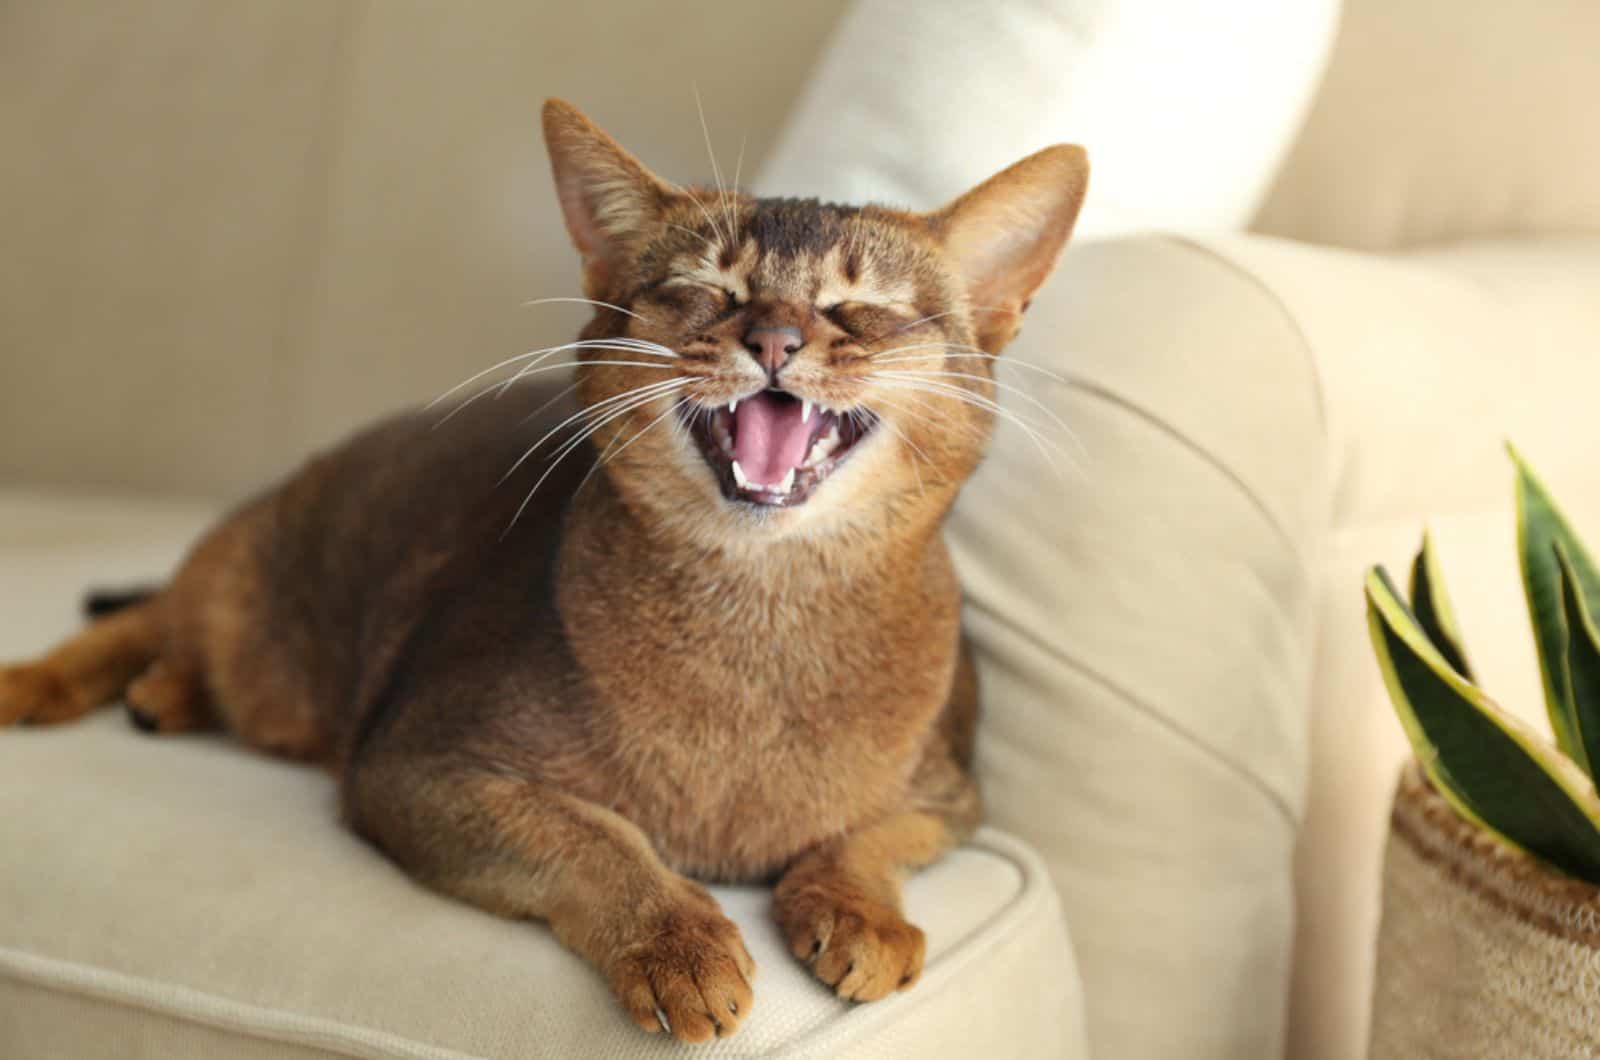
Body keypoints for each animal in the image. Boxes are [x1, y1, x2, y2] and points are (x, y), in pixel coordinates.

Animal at [0, 99, 1088, 1043]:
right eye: (706, 288)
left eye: (861, 307)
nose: (773, 337)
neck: (758, 620)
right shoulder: (419, 765)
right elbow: (594, 838)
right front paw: (678, 943)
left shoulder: (955, 798)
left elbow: (869, 838)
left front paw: (860, 913)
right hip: (249, 575)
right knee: (148, 616)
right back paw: (48, 683)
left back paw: (167, 698)